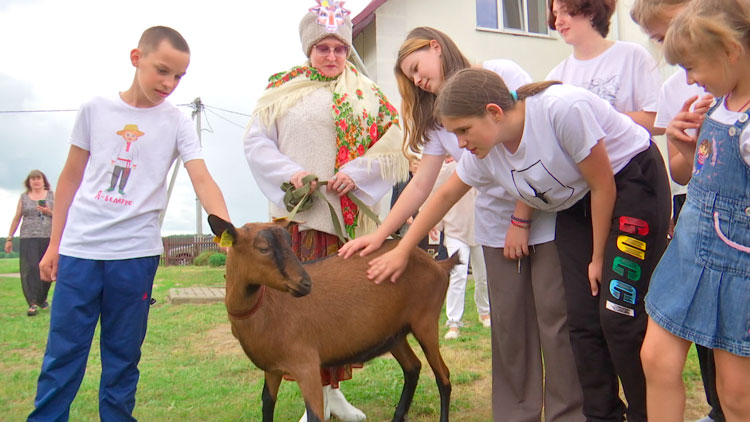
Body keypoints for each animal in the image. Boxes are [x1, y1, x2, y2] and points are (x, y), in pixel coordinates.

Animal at [210, 216, 458, 420]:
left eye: (289, 244)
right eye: (263, 248)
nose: (305, 283)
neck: (265, 308)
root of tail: (438, 264)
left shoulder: (306, 364)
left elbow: (315, 415)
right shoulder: (272, 369)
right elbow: (267, 405)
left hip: (425, 322)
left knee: (443, 376)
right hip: (393, 334)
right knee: (413, 367)